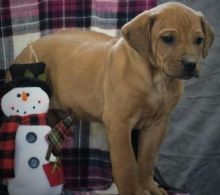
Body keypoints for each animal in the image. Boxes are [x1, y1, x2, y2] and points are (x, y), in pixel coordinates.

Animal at [12, 1, 214, 195]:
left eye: (199, 40)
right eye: (168, 39)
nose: (191, 64)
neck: (157, 81)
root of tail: (24, 51)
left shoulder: (157, 125)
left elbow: (147, 160)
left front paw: (149, 186)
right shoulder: (119, 124)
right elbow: (127, 165)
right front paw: (134, 192)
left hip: (53, 117)